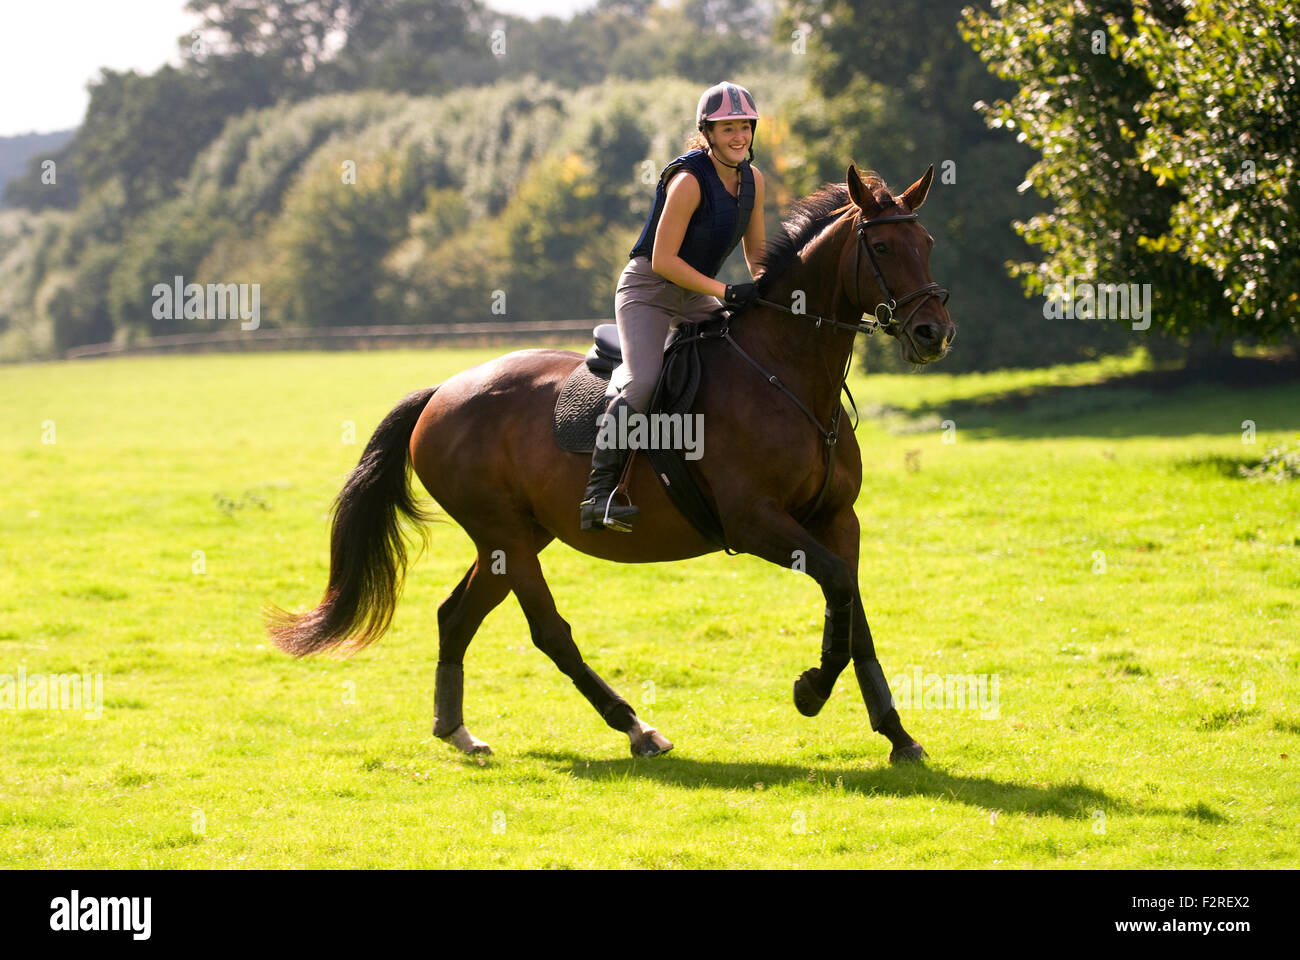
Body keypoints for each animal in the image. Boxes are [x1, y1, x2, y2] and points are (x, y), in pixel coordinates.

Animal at [268, 163, 955, 765]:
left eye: (926, 243)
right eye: (883, 247)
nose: (933, 333)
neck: (786, 373)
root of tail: (441, 392)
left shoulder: (837, 519)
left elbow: (852, 608)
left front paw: (897, 735)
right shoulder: (756, 521)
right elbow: (837, 586)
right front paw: (811, 691)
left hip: (515, 536)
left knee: (456, 615)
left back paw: (457, 731)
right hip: (505, 533)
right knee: (549, 632)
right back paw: (635, 728)